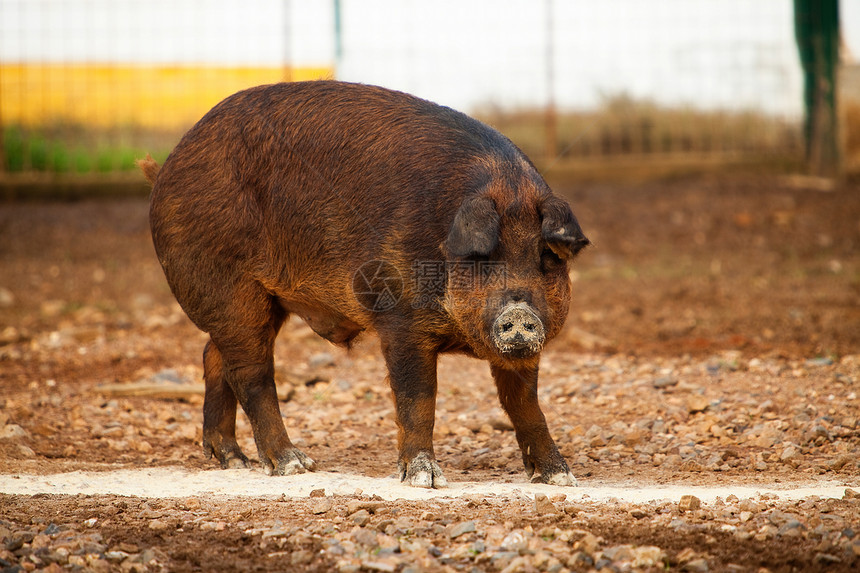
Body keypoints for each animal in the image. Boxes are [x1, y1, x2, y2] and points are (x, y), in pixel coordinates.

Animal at [138, 80, 588, 488]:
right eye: (483, 258)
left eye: (547, 258)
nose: (520, 311)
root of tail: (166, 169)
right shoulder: (400, 320)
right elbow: (417, 397)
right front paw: (424, 480)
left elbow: (525, 404)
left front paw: (561, 478)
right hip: (231, 289)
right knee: (252, 374)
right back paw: (295, 464)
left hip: (265, 301)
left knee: (214, 357)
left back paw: (234, 461)